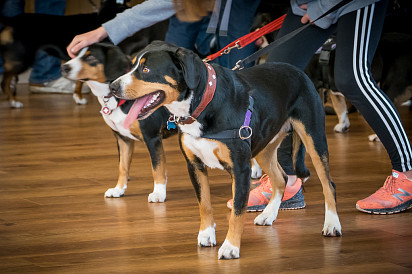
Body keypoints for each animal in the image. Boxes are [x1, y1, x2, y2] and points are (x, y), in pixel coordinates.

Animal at [62, 42, 176, 201]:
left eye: (91, 57)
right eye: (77, 54)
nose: (65, 67)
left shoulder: (152, 137)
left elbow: (157, 167)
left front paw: (159, 193)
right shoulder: (123, 139)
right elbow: (122, 166)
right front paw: (118, 189)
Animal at [108, 40, 342, 260]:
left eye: (146, 70)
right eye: (131, 66)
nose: (112, 87)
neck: (203, 105)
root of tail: (298, 71)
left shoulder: (240, 169)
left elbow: (237, 212)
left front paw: (231, 247)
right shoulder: (195, 166)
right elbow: (204, 204)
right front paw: (206, 234)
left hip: (313, 138)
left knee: (328, 184)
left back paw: (332, 224)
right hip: (264, 149)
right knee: (281, 179)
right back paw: (268, 215)